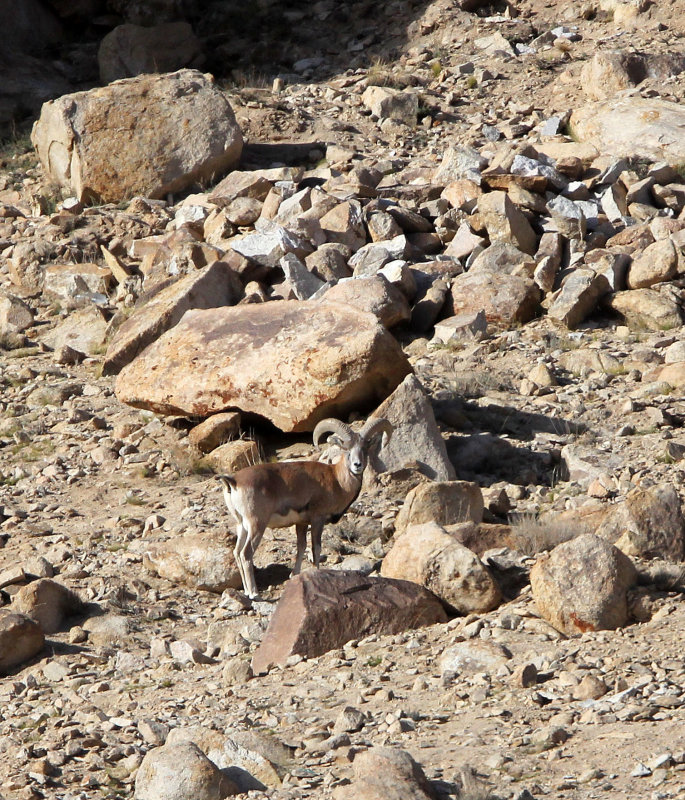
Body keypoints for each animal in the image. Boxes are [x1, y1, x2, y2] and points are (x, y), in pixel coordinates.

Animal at [219, 416, 390, 596]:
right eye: (347, 449)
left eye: (364, 448)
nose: (357, 465)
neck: (337, 479)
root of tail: (233, 482)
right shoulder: (317, 520)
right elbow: (316, 548)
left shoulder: (301, 524)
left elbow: (301, 547)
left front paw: (294, 574)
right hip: (257, 525)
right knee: (246, 554)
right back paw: (254, 593)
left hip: (242, 525)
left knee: (237, 553)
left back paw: (246, 591)